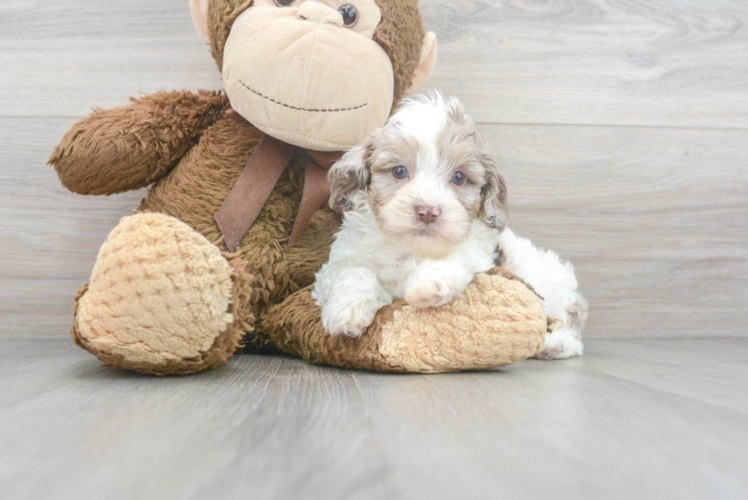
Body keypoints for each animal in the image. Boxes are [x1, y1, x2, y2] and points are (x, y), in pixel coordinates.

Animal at [312, 93, 588, 360]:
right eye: (399, 171)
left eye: (459, 177)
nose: (428, 211)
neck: (413, 248)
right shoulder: (334, 269)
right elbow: (356, 272)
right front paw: (346, 311)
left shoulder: (479, 258)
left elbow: (455, 260)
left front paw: (428, 284)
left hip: (550, 286)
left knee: (570, 323)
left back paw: (556, 344)